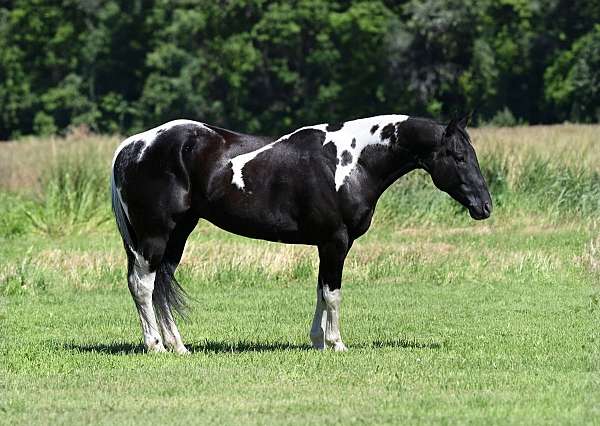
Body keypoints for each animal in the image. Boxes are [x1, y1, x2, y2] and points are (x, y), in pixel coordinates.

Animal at [110, 112, 490, 352]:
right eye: (458, 156)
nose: (484, 206)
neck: (349, 161)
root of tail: (134, 145)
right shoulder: (336, 241)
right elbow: (333, 293)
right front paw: (336, 344)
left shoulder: (327, 244)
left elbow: (321, 291)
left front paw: (318, 341)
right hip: (155, 235)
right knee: (142, 285)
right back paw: (155, 346)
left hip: (178, 234)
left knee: (160, 285)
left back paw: (178, 346)